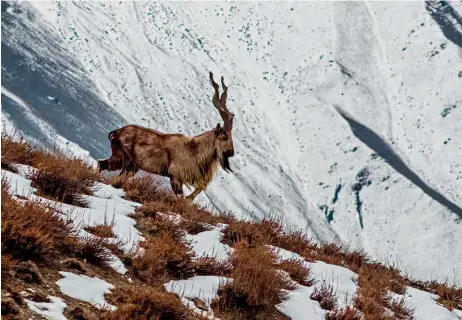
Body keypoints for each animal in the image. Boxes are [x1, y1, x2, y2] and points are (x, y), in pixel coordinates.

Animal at [97, 72, 235, 200]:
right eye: (223, 135)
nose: (231, 152)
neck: (194, 150)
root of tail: (116, 132)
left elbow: (195, 192)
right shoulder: (175, 176)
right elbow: (181, 197)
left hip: (132, 166)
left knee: (106, 166)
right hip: (124, 159)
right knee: (103, 165)